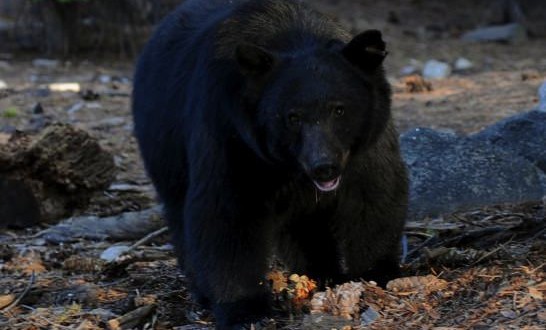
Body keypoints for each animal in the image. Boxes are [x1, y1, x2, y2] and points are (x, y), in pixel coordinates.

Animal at [131, 0, 404, 326]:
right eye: (292, 117)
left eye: (339, 109)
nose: (323, 166)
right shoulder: (231, 134)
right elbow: (228, 213)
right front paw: (244, 309)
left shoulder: (366, 146)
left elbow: (373, 195)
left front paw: (377, 273)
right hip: (165, 150)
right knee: (180, 215)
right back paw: (203, 291)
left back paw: (321, 273)